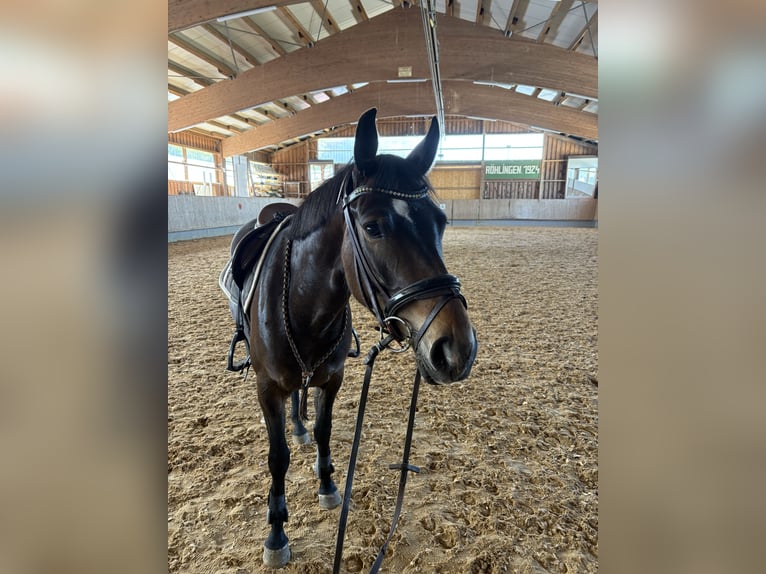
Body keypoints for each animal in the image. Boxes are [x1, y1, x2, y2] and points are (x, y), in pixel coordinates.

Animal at [234, 108, 477, 568]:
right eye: (373, 226)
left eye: (440, 222)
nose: (458, 349)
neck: (304, 305)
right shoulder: (266, 388)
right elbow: (277, 458)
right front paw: (276, 532)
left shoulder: (332, 378)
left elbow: (325, 429)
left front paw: (328, 483)